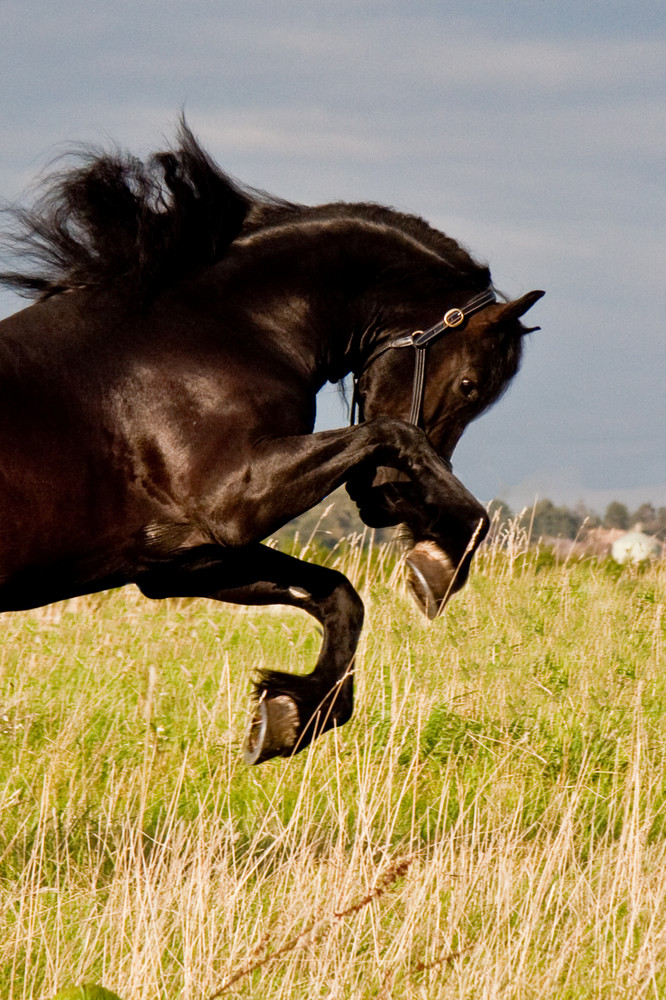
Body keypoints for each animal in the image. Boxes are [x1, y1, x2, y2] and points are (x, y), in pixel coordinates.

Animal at [0, 125, 540, 764]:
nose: (387, 501)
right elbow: (393, 434)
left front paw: (289, 715)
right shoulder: (232, 502)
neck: (220, 331)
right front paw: (443, 557)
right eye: (470, 384)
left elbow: (339, 595)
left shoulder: (182, 560)